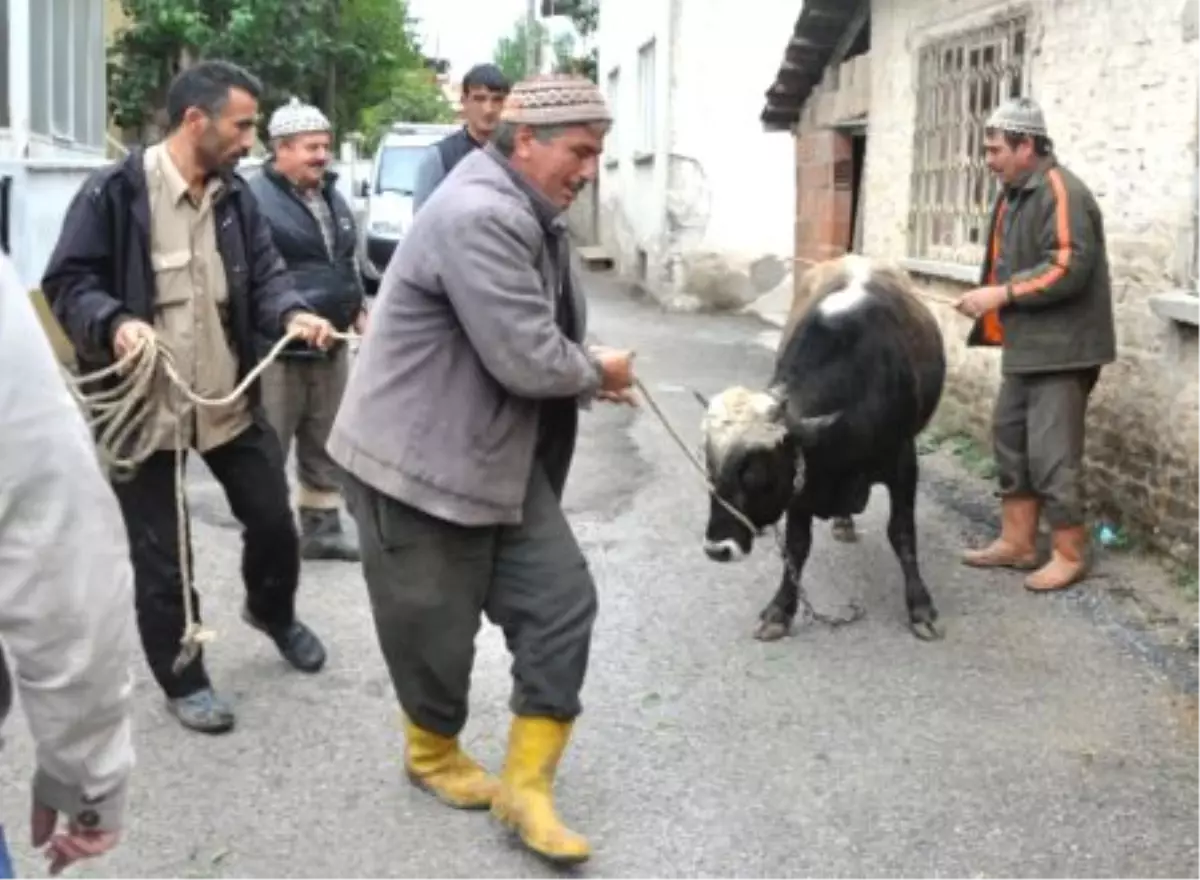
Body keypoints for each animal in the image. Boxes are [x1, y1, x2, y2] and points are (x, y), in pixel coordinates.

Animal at [700, 252, 940, 638]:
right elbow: (797, 547)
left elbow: (902, 533)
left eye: (754, 473)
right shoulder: (802, 477)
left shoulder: (904, 460)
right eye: (710, 467)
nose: (717, 549)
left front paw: (920, 607)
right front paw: (780, 609)